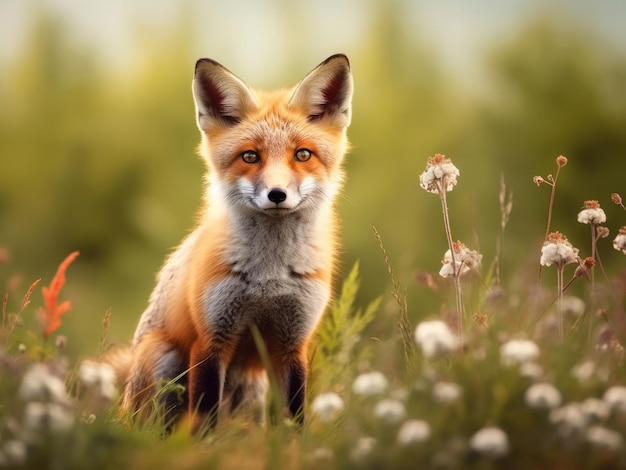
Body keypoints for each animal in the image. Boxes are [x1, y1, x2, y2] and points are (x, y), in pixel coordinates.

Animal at [117, 53, 352, 432]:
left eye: (302, 155)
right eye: (250, 156)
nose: (277, 194)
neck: (270, 274)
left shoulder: (293, 343)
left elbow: (294, 419)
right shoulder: (212, 340)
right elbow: (206, 419)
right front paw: (204, 444)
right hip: (164, 360)